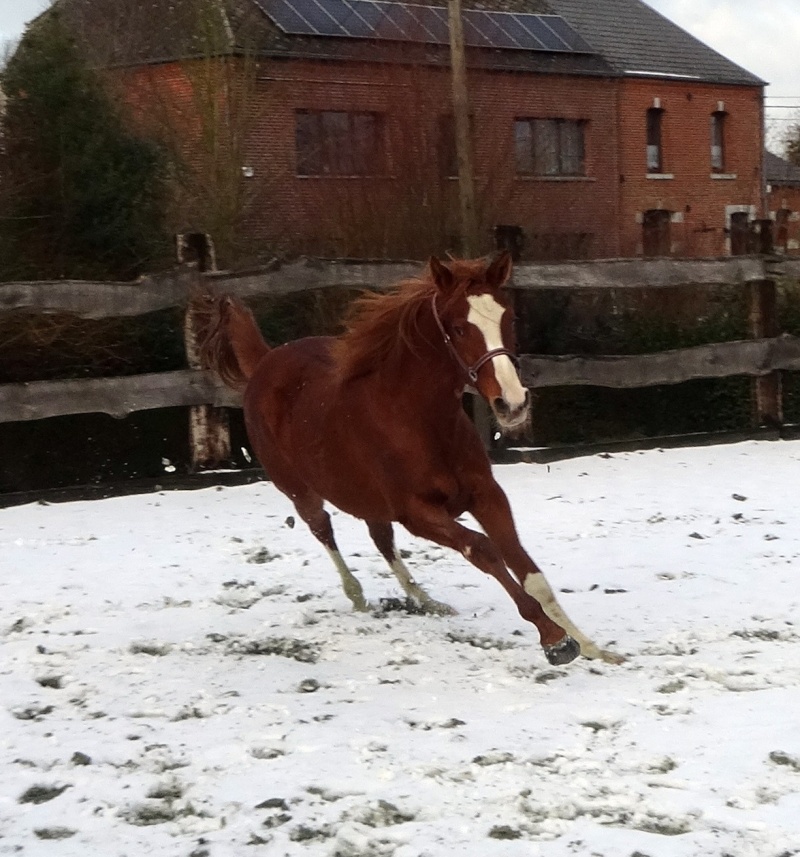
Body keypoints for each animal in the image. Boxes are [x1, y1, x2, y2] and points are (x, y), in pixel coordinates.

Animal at [197, 251, 620, 664]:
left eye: (508, 317)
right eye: (459, 327)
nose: (512, 404)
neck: (419, 419)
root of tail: (265, 363)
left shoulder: (486, 495)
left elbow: (526, 567)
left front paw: (592, 647)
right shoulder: (418, 514)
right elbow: (484, 551)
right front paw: (555, 641)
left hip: (366, 497)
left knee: (381, 538)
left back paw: (428, 602)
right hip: (302, 491)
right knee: (325, 531)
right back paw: (359, 596)